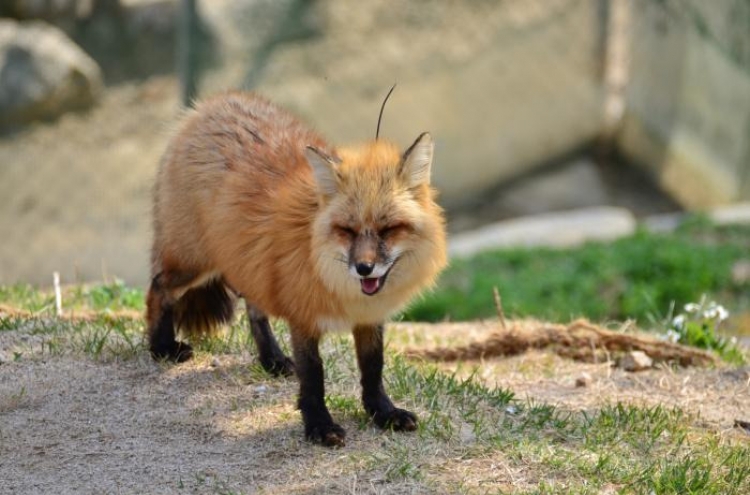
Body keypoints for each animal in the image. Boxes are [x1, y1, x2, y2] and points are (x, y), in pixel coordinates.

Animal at [147, 91, 446, 448]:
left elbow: (373, 367)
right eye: (347, 230)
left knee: (254, 311)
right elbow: (313, 374)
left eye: (388, 229)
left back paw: (271, 359)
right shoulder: (303, 315)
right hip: (194, 264)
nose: (364, 268)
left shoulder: (368, 316)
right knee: (158, 287)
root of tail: (209, 104)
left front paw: (382, 413)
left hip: (249, 262)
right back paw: (161, 348)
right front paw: (319, 425)